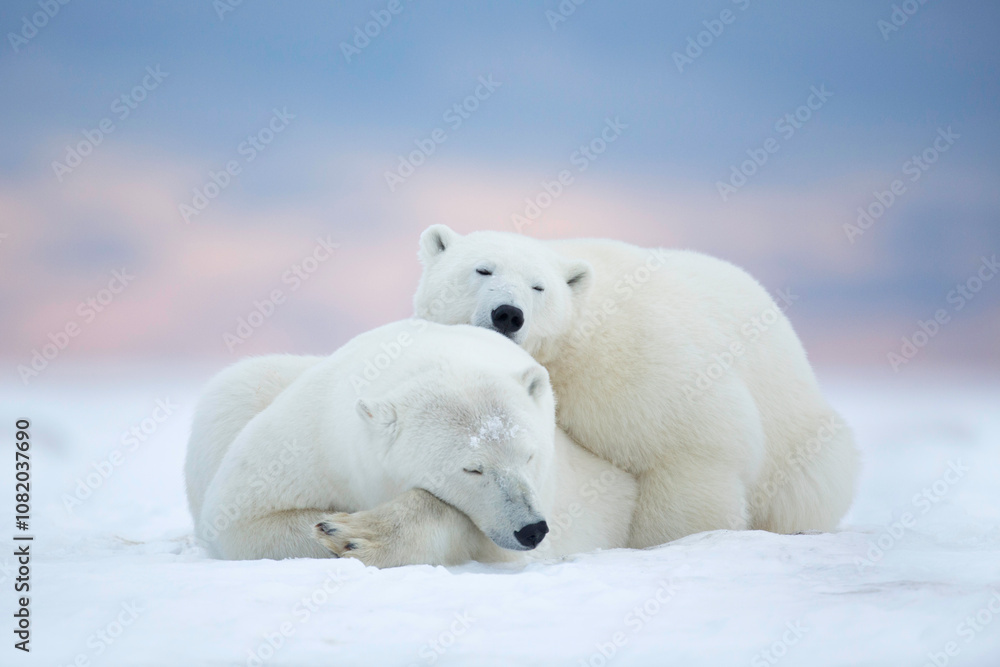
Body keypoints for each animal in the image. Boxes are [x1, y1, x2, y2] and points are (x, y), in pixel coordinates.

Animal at [184, 319, 636, 565]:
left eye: (529, 455)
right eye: (473, 468)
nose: (531, 529)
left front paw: (356, 533)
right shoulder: (310, 441)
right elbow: (241, 517)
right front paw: (334, 527)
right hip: (239, 393)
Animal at [412, 225, 860, 548]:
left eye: (539, 286)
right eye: (482, 269)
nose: (508, 313)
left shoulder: (636, 363)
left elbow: (691, 447)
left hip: (800, 439)